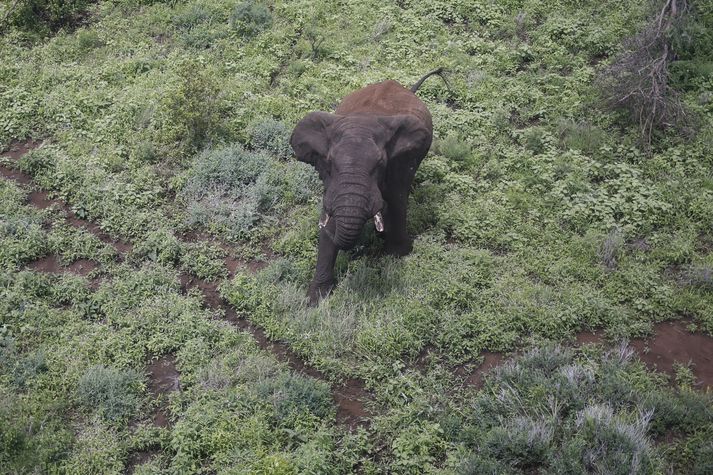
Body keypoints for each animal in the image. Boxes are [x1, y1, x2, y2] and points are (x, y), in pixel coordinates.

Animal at [290, 68, 444, 304]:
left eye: (380, 164)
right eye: (330, 162)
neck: (362, 123)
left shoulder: (400, 163)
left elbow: (398, 200)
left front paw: (398, 254)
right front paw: (316, 299)